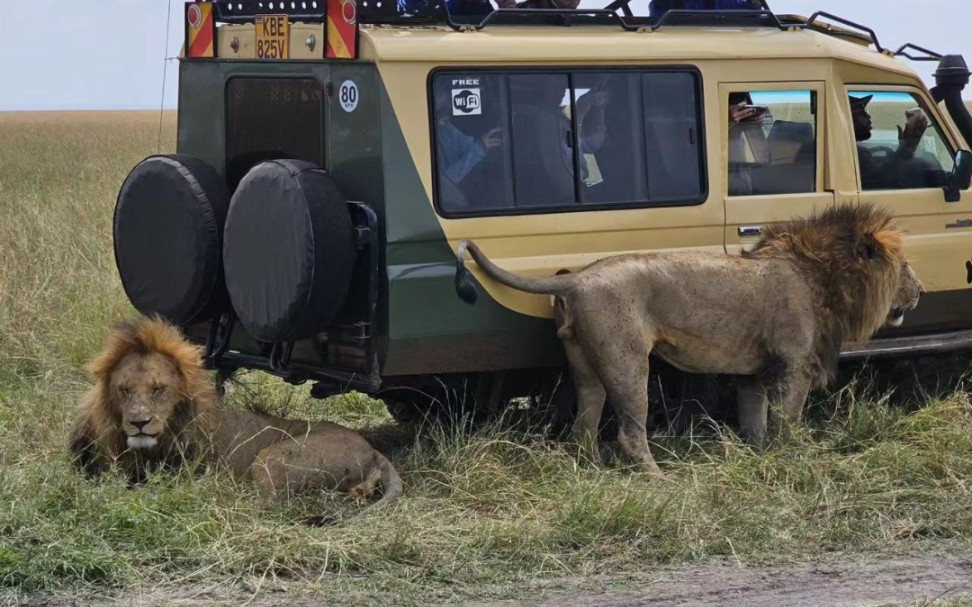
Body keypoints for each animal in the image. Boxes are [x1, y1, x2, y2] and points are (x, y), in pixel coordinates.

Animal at [68, 318, 402, 524]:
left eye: (158, 389)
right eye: (124, 390)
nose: (139, 422)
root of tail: (374, 450)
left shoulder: (184, 473)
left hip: (271, 458)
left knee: (267, 506)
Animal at [452, 204, 924, 476]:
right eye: (904, 266)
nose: (920, 290)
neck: (822, 276)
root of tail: (577, 279)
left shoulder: (753, 373)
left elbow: (755, 422)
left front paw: (758, 457)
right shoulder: (792, 367)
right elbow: (787, 422)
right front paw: (794, 456)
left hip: (586, 368)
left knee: (583, 429)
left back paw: (595, 473)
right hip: (628, 362)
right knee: (629, 431)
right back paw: (658, 479)